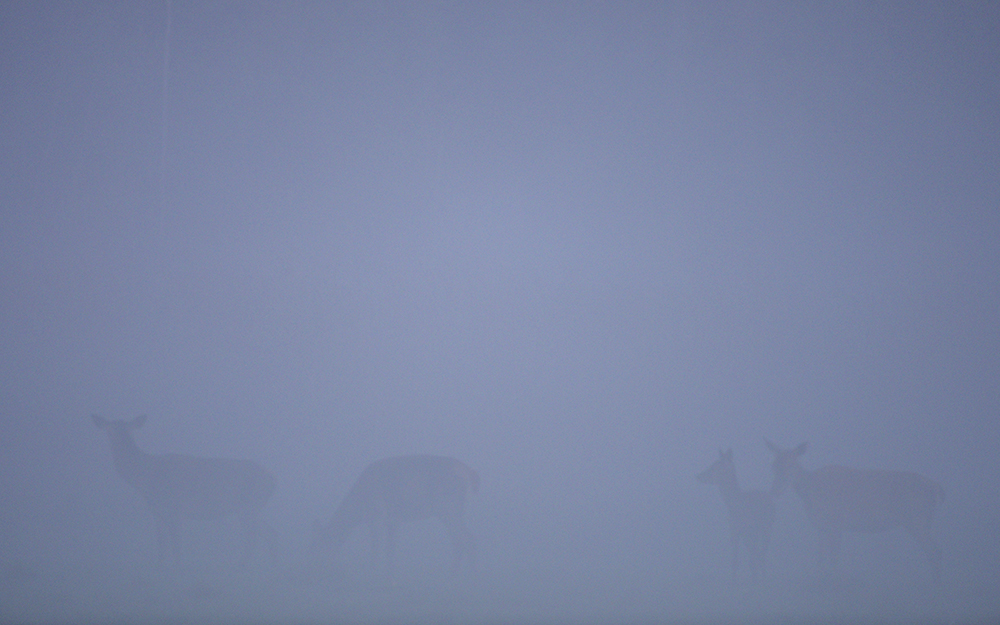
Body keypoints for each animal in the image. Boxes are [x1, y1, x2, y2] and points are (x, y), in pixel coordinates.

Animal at [92, 414, 276, 564]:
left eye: (126, 431)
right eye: (109, 430)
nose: (119, 444)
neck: (144, 477)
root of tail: (271, 481)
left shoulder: (174, 508)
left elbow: (176, 546)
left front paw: (178, 568)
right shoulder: (157, 512)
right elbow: (161, 545)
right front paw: (161, 566)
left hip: (249, 505)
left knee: (254, 536)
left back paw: (241, 566)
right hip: (250, 508)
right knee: (267, 532)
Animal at [306, 454, 478, 580]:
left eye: (318, 546)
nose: (313, 571)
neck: (359, 506)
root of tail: (471, 474)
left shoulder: (376, 515)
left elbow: (376, 547)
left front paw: (372, 572)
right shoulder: (393, 521)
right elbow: (390, 549)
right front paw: (389, 574)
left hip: (449, 508)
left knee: (464, 538)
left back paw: (457, 575)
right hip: (453, 511)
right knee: (464, 537)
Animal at [700, 446, 776, 576]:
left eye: (717, 466)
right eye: (714, 464)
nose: (700, 475)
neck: (737, 507)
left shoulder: (750, 529)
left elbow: (753, 559)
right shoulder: (734, 530)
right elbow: (735, 561)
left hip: (766, 528)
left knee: (759, 556)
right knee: (757, 555)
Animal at [764, 438, 944, 580]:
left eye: (791, 465)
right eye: (773, 466)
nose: (774, 491)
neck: (812, 494)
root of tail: (936, 489)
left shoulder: (836, 523)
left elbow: (833, 559)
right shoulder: (822, 526)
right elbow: (820, 560)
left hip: (916, 518)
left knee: (934, 549)